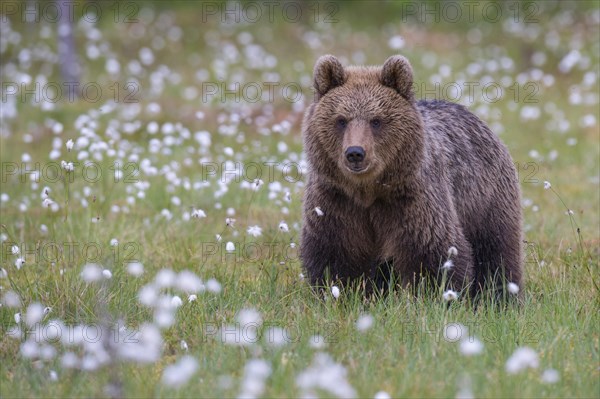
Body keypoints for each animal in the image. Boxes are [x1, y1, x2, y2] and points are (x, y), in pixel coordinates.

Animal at [300, 54, 520, 298]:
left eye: (376, 120)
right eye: (341, 120)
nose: (355, 153)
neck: (369, 191)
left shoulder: (413, 200)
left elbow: (432, 252)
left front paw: (434, 296)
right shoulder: (336, 201)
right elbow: (336, 254)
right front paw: (341, 293)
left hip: (484, 199)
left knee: (496, 250)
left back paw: (502, 295)